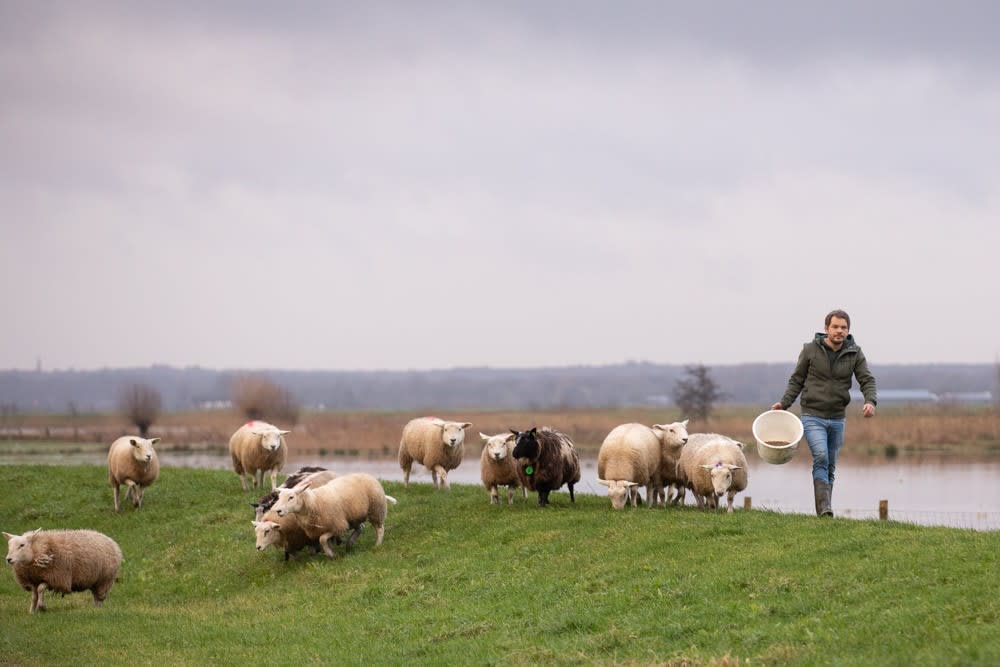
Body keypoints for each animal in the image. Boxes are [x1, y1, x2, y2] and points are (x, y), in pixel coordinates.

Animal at [274, 472, 402, 560]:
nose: (278, 511)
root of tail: (368, 475)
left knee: (379, 528)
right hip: (353, 516)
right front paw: (331, 552)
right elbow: (325, 541)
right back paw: (350, 544)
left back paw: (377, 545)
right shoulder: (325, 527)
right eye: (279, 498)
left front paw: (331, 554)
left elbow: (322, 539)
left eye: (291, 497)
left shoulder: (337, 525)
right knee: (360, 528)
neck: (314, 502)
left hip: (376, 509)